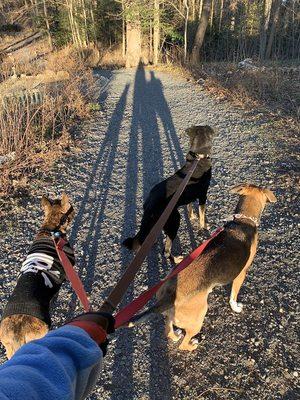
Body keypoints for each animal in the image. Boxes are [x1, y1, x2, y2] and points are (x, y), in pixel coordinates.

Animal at [129, 184, 276, 350]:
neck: (243, 220)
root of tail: (167, 297)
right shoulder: (241, 273)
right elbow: (233, 296)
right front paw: (236, 307)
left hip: (171, 315)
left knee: (169, 331)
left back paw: (176, 335)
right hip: (198, 317)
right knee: (183, 344)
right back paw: (193, 344)